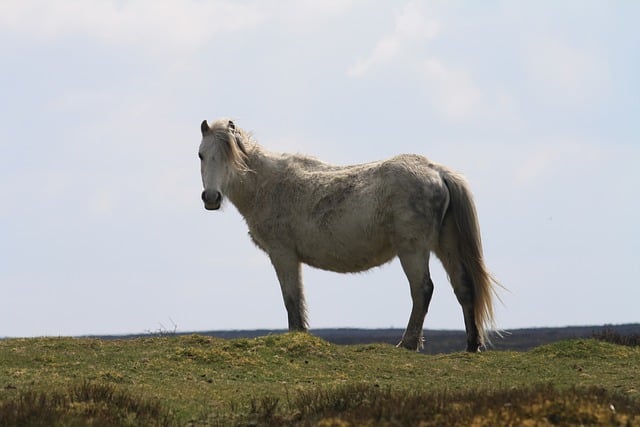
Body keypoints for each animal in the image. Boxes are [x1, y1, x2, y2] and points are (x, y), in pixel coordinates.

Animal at [199, 118, 500, 352]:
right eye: (201, 155)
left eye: (228, 157)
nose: (211, 198)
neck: (267, 184)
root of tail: (437, 171)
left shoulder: (282, 254)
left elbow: (292, 298)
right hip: (446, 246)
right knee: (463, 287)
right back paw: (472, 345)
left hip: (413, 250)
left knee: (422, 290)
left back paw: (407, 343)